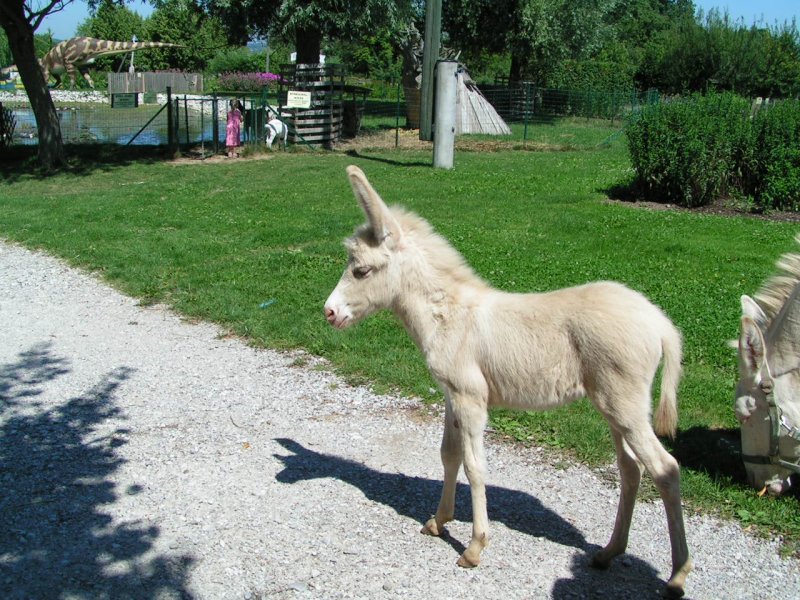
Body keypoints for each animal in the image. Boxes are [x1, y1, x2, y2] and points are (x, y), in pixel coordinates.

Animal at [324, 166, 692, 596]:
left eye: (361, 270)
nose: (329, 312)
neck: (447, 315)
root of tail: (660, 322)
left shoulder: (470, 399)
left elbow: (474, 466)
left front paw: (474, 547)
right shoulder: (451, 396)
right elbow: (449, 455)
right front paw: (439, 521)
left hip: (625, 404)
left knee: (665, 468)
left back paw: (678, 574)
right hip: (616, 406)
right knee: (632, 470)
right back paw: (607, 553)